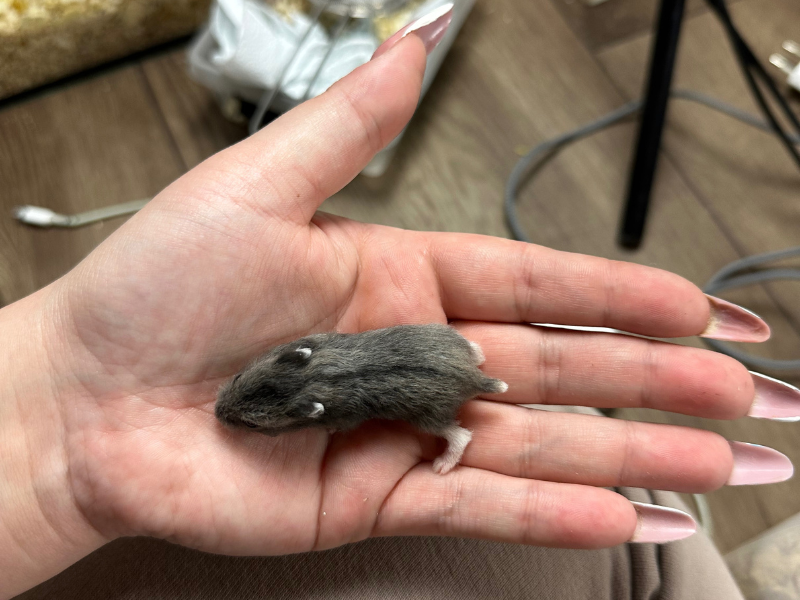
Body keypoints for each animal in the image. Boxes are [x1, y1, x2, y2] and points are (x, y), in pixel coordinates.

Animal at [215, 323, 508, 474]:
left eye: (252, 424)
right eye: (237, 377)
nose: (216, 413)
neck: (315, 378)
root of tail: (472, 376)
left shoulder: (346, 417)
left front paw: (329, 431)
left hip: (429, 417)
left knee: (461, 436)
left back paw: (441, 466)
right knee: (475, 348)